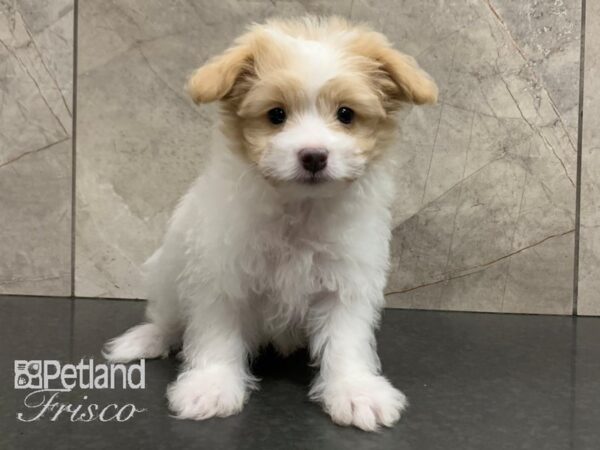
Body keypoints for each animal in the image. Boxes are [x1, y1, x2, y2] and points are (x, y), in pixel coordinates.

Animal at [104, 16, 436, 432]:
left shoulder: (346, 282)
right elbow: (217, 335)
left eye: (346, 114)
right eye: (276, 115)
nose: (314, 156)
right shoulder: (222, 276)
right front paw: (211, 385)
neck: (299, 209)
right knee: (167, 318)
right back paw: (145, 340)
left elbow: (346, 341)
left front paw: (355, 391)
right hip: (167, 273)